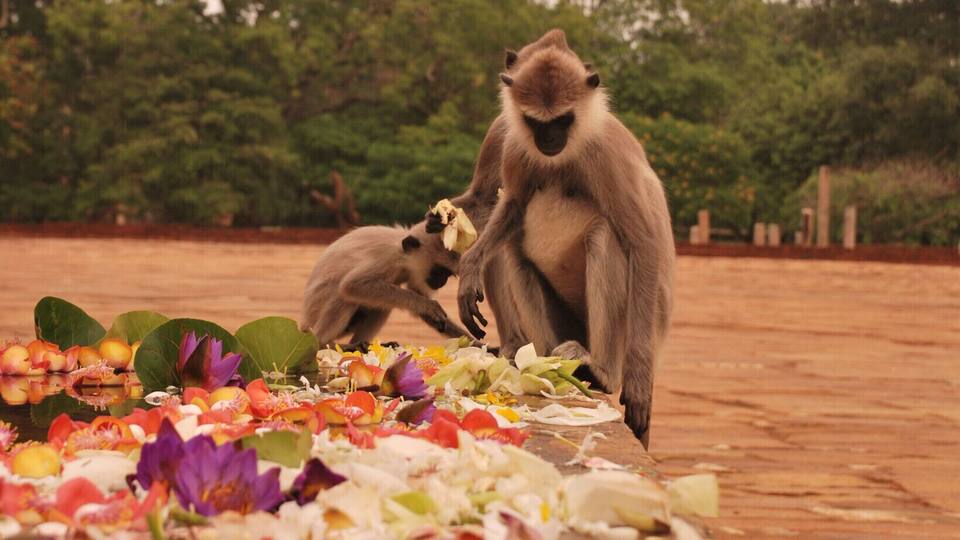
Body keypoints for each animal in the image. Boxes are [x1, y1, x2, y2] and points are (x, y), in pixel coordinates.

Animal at [300, 222, 470, 347]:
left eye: (447, 274)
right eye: (439, 271)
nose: (442, 282)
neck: (403, 257)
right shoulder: (387, 258)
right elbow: (351, 285)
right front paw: (428, 305)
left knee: (380, 306)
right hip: (315, 313)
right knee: (343, 295)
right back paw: (327, 344)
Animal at [455, 29, 675, 447]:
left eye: (563, 119)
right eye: (535, 121)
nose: (550, 138)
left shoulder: (605, 153)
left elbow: (643, 242)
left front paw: (639, 382)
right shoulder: (516, 143)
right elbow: (511, 204)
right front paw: (468, 268)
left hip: (631, 326)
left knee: (604, 236)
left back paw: (599, 370)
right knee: (515, 248)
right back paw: (543, 361)